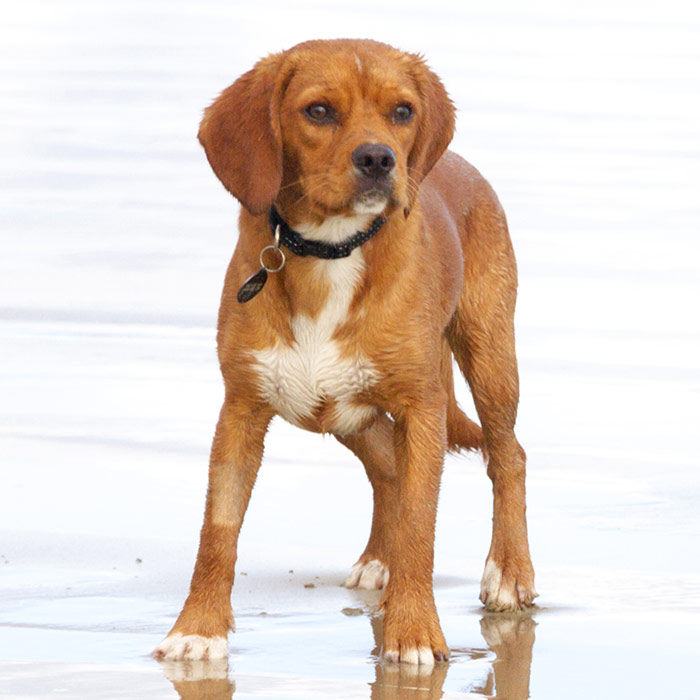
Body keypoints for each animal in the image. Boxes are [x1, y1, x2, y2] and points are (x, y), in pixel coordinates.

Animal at [153, 38, 536, 668]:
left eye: (402, 111)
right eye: (318, 111)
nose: (380, 159)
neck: (331, 250)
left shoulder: (422, 409)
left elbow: (420, 526)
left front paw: (413, 630)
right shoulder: (241, 409)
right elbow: (218, 530)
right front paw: (198, 629)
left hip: (488, 354)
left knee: (508, 456)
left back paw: (509, 574)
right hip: (337, 409)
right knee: (386, 466)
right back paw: (381, 561)